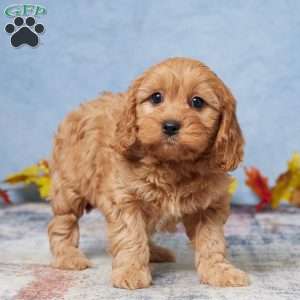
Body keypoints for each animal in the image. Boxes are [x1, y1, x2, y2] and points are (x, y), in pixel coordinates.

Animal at [48, 57, 248, 290]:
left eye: (197, 102)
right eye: (156, 97)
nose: (170, 126)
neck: (172, 164)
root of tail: (81, 107)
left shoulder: (209, 207)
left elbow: (212, 241)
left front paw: (219, 271)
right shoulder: (126, 201)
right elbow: (132, 236)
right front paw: (132, 271)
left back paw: (155, 252)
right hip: (70, 185)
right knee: (62, 222)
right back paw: (68, 256)